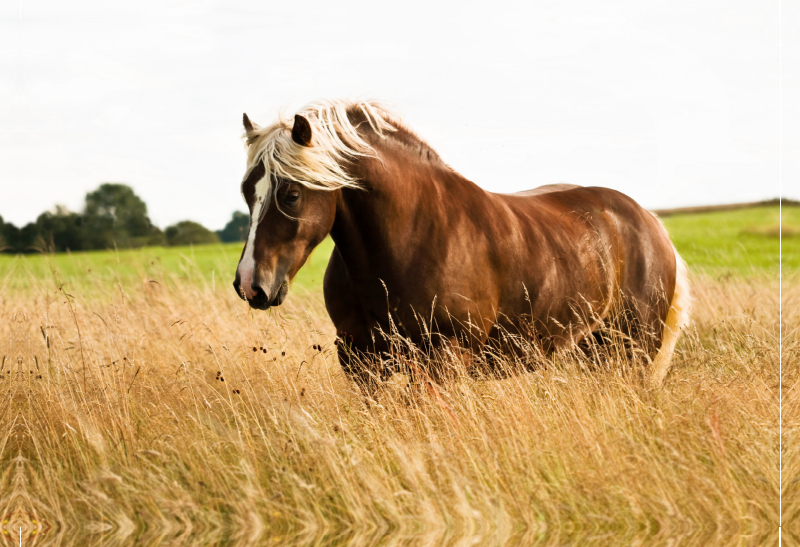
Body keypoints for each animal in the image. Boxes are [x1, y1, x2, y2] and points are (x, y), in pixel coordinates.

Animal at [233, 99, 692, 390]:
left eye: (292, 194)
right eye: (246, 191)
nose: (250, 284)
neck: (405, 241)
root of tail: (648, 220)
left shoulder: (444, 360)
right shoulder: (360, 360)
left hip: (632, 350)